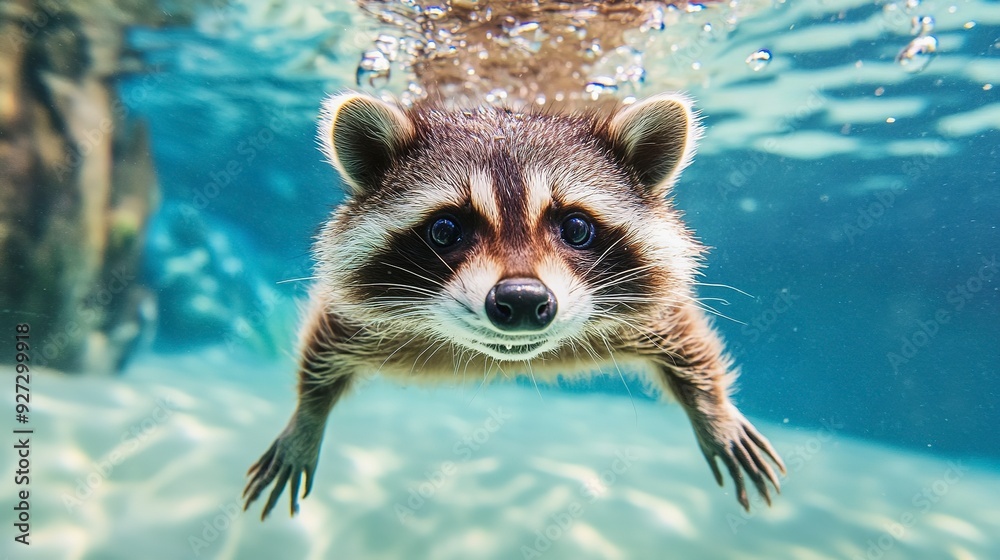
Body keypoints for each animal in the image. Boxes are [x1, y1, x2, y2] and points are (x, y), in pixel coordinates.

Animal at [242, 92, 786, 519]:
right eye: (446, 230)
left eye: (576, 227)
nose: (522, 300)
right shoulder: (367, 317)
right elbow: (326, 340)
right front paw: (306, 417)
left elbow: (682, 333)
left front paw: (712, 408)